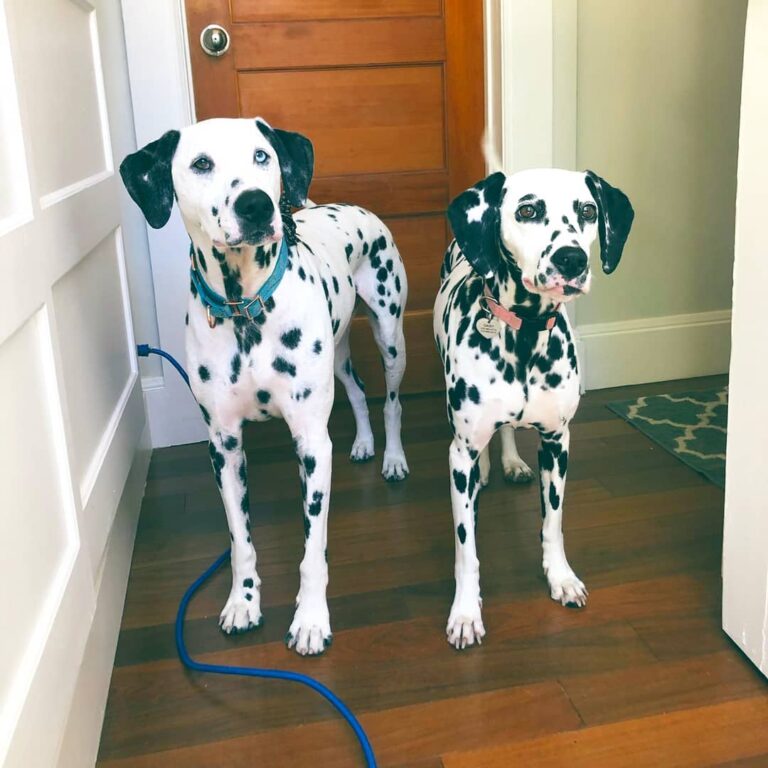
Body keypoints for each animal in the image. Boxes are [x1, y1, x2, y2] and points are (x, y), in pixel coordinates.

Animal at [119, 118, 408, 656]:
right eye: (201, 163)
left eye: (262, 156)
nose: (255, 204)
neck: (245, 309)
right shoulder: (224, 448)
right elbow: (240, 542)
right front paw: (243, 602)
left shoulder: (311, 445)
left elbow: (313, 549)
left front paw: (311, 619)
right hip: (337, 354)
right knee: (358, 391)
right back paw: (363, 443)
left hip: (390, 334)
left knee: (392, 402)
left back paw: (394, 458)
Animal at [436, 166, 632, 648]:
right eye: (527, 210)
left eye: (588, 211)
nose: (572, 259)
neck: (523, 337)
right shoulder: (460, 454)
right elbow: (466, 548)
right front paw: (465, 611)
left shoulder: (557, 444)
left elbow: (552, 524)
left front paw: (560, 577)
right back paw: (488, 469)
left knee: (506, 432)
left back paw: (508, 462)